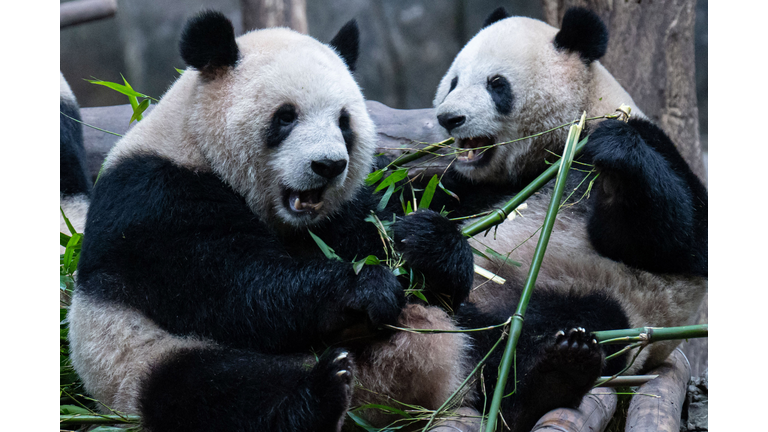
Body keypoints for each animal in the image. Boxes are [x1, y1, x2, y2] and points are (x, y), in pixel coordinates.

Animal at [70, 11, 480, 432]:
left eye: (343, 121)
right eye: (286, 116)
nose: (328, 166)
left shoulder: (338, 215)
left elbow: (382, 239)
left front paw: (427, 243)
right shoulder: (155, 199)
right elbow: (233, 289)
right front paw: (364, 287)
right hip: (140, 359)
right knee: (217, 392)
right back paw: (320, 393)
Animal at [420, 6, 708, 432]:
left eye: (496, 84)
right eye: (453, 81)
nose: (449, 118)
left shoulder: (647, 142)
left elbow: (674, 239)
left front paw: (616, 155)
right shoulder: (478, 187)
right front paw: (427, 237)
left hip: (607, 301)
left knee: (574, 325)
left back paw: (551, 377)